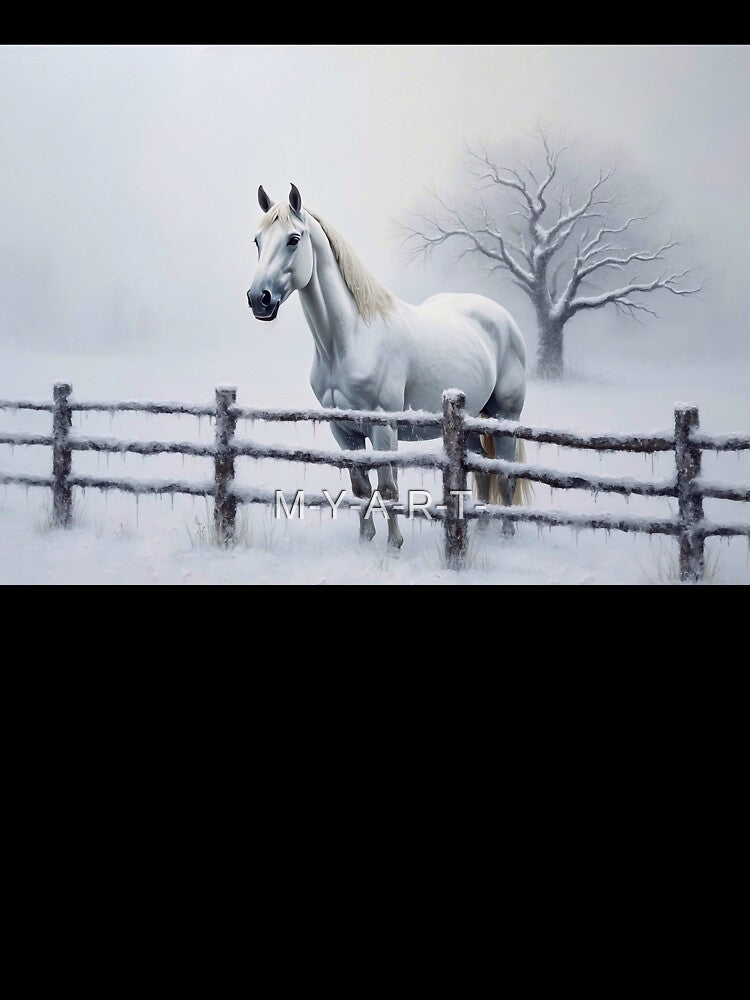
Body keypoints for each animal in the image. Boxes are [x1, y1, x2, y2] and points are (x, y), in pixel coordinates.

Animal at [247, 183, 530, 549]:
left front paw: (394, 544)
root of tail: (501, 316)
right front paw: (366, 538)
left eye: (293, 239)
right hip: (468, 423)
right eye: (257, 241)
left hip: (505, 416)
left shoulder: (383, 427)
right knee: (480, 470)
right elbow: (361, 487)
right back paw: (480, 530)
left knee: (506, 474)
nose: (259, 299)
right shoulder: (343, 430)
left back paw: (507, 534)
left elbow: (389, 487)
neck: (352, 338)